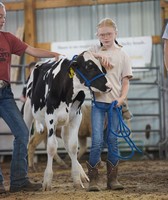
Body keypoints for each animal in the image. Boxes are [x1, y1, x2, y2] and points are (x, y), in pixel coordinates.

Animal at [23, 50, 111, 191]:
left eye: (102, 67)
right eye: (89, 67)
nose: (108, 86)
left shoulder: (76, 118)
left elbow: (74, 146)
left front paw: (77, 179)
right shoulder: (50, 118)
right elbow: (51, 147)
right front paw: (47, 181)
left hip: (65, 123)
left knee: (67, 144)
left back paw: (82, 174)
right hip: (28, 111)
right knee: (25, 140)